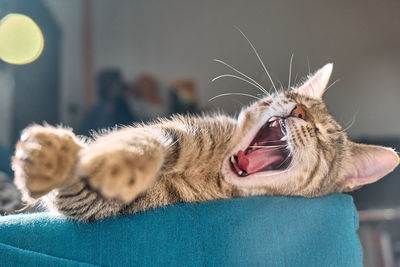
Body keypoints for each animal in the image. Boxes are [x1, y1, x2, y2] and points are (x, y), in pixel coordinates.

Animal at [10, 63, 398, 223]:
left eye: (324, 136)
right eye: (293, 97)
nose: (299, 111)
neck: (211, 174)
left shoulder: (95, 203)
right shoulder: (172, 130)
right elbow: (143, 141)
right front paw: (57, 157)